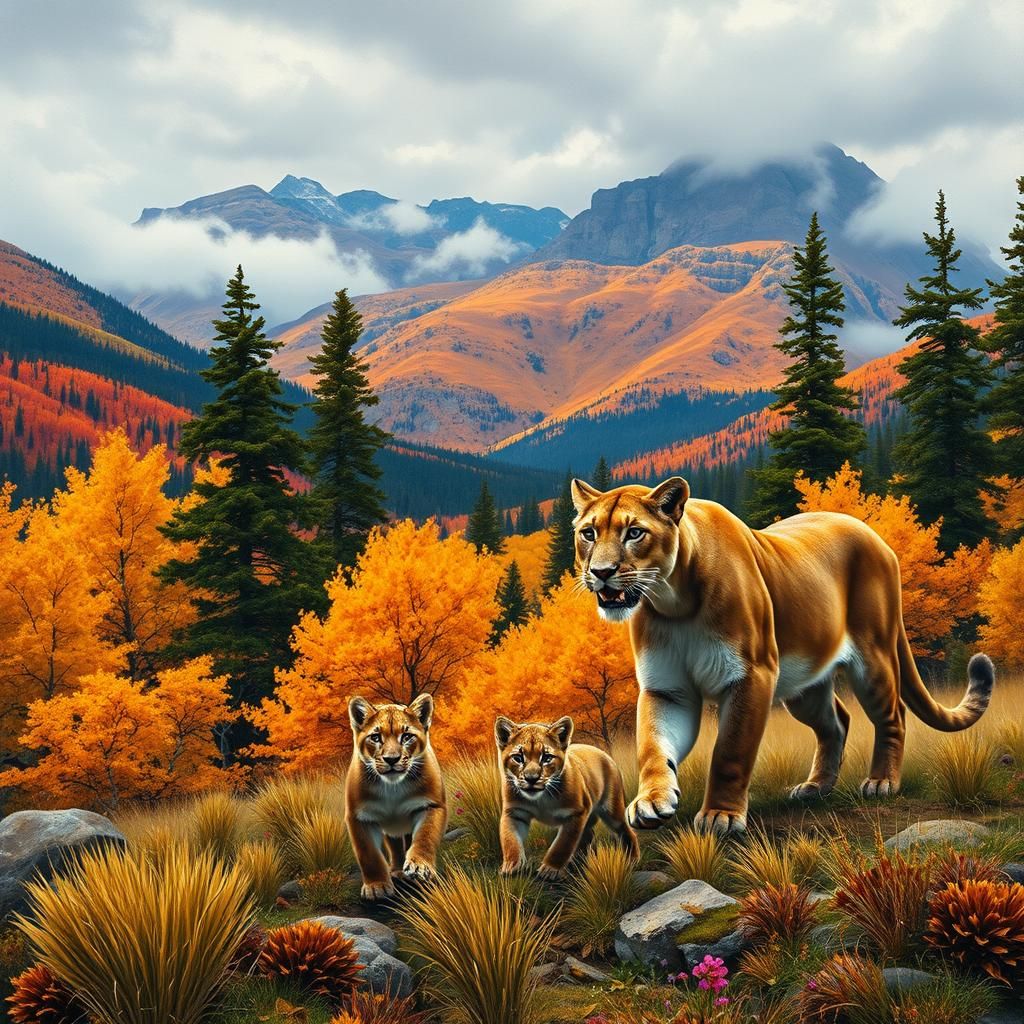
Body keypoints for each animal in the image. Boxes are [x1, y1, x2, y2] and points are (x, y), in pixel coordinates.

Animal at [345, 693, 447, 900]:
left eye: (406, 736)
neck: (392, 787)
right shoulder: (359, 817)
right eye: (375, 737)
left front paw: (420, 867)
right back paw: (397, 870)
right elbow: (368, 854)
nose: (391, 759)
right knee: (394, 844)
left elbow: (425, 836)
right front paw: (376, 886)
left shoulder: (431, 805)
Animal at [495, 715, 639, 879]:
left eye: (546, 757)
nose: (531, 778)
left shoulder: (576, 813)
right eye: (518, 758)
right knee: (588, 835)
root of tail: (603, 753)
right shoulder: (514, 812)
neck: (540, 799)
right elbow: (510, 840)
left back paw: (632, 859)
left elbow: (563, 844)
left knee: (625, 830)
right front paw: (511, 866)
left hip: (612, 810)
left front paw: (550, 870)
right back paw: (577, 860)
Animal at [571, 476, 995, 837]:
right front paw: (652, 802)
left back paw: (881, 782)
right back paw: (815, 787)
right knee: (836, 722)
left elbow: (730, 751)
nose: (601, 572)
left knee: (893, 715)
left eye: (634, 532)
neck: (674, 601)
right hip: (805, 686)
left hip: (873, 660)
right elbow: (653, 746)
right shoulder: (667, 688)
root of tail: (877, 537)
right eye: (588, 533)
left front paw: (720, 816)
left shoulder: (750, 675)